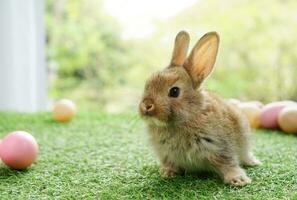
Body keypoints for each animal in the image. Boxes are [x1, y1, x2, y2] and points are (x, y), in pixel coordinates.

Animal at [138, 30, 260, 187]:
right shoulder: (166, 154)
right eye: (147, 84)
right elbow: (169, 164)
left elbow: (228, 163)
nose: (146, 105)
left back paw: (253, 162)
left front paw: (238, 180)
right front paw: (167, 173)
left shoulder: (219, 147)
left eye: (174, 91)